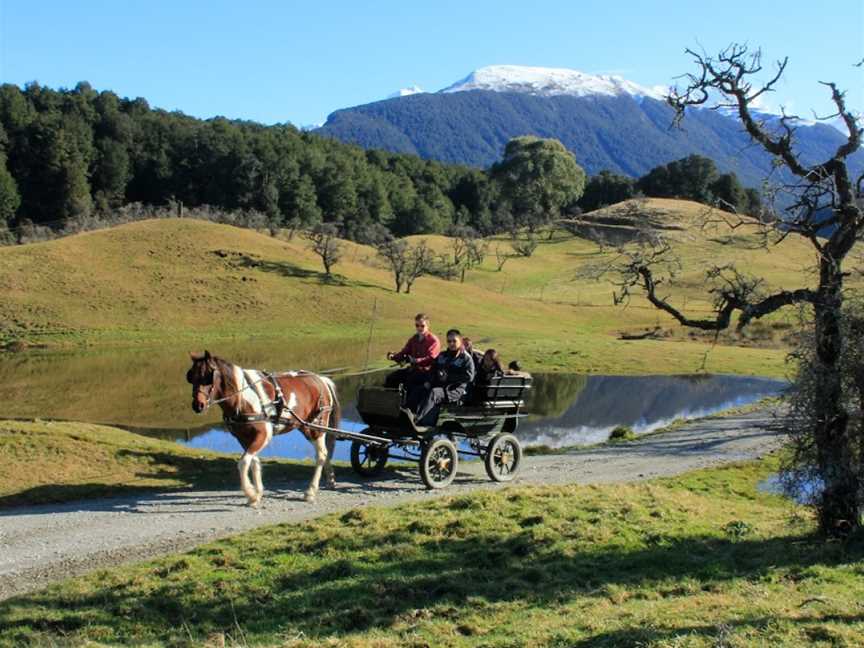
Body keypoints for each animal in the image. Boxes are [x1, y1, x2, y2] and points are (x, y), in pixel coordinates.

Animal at [186, 350, 340, 506]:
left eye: (208, 376)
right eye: (191, 377)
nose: (198, 405)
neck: (243, 398)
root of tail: (320, 379)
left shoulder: (264, 434)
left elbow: (243, 462)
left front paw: (250, 494)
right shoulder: (243, 438)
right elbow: (253, 461)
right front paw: (258, 492)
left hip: (317, 428)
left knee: (321, 455)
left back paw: (311, 491)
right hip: (305, 427)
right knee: (325, 453)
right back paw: (330, 480)